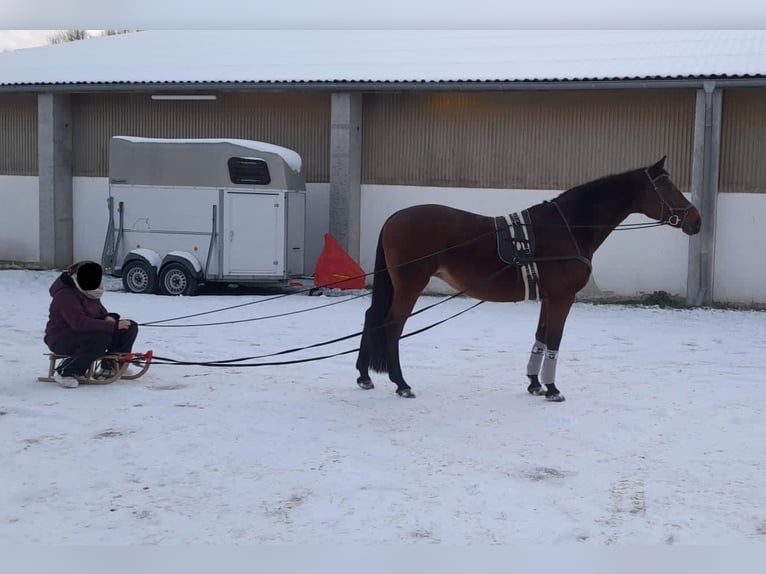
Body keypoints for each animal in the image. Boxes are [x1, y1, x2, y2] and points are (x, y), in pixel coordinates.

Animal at [354, 156, 704, 400]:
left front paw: (535, 383)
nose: (696, 221)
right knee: (392, 326)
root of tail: (394, 218)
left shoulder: (549, 298)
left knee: (372, 317)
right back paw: (401, 384)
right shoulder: (563, 298)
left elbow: (540, 336)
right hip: (410, 285)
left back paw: (364, 376)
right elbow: (554, 339)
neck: (569, 227)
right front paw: (552, 389)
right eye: (667, 187)